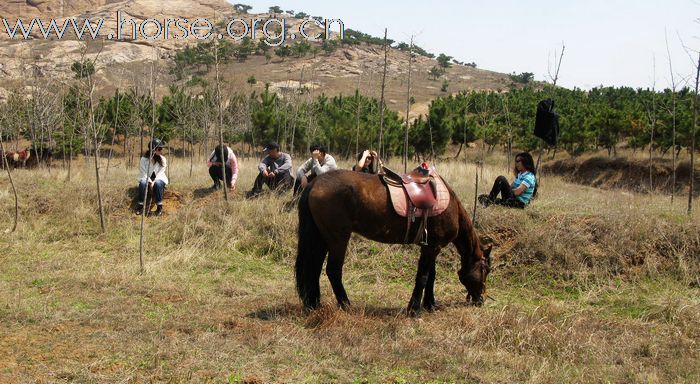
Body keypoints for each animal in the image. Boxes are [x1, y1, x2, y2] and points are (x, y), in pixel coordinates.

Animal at [296, 170, 492, 316]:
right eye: (485, 270)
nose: (481, 299)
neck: (449, 204)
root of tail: (315, 182)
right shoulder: (432, 247)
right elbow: (423, 276)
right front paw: (414, 309)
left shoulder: (431, 246)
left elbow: (431, 276)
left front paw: (430, 304)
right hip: (338, 238)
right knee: (333, 271)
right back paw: (346, 305)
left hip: (321, 238)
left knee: (313, 268)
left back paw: (313, 304)